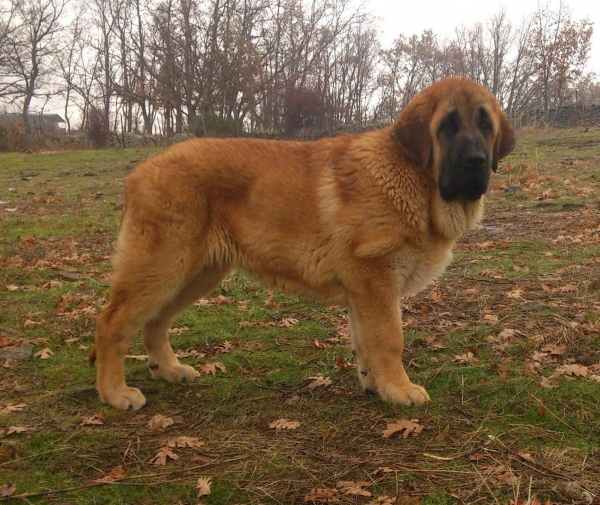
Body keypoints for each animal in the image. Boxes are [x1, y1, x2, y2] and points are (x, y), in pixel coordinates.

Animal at [90, 78, 516, 410]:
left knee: (156, 321)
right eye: (447, 126)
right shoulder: (375, 279)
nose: (477, 161)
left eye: (485, 125)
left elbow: (365, 341)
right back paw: (114, 393)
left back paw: (168, 369)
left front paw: (374, 384)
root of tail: (140, 172)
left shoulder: (365, 291)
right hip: (163, 265)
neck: (414, 179)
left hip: (195, 272)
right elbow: (389, 338)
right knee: (112, 322)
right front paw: (399, 389)